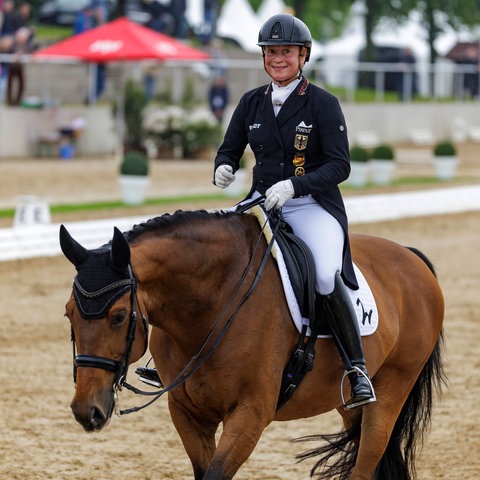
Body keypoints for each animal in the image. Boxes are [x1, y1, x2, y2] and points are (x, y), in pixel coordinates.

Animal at [60, 207, 446, 480]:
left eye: (118, 316)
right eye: (68, 314)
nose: (86, 411)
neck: (211, 304)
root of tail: (411, 256)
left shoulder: (250, 414)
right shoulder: (186, 412)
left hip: (392, 388)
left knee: (367, 462)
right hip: (348, 403)